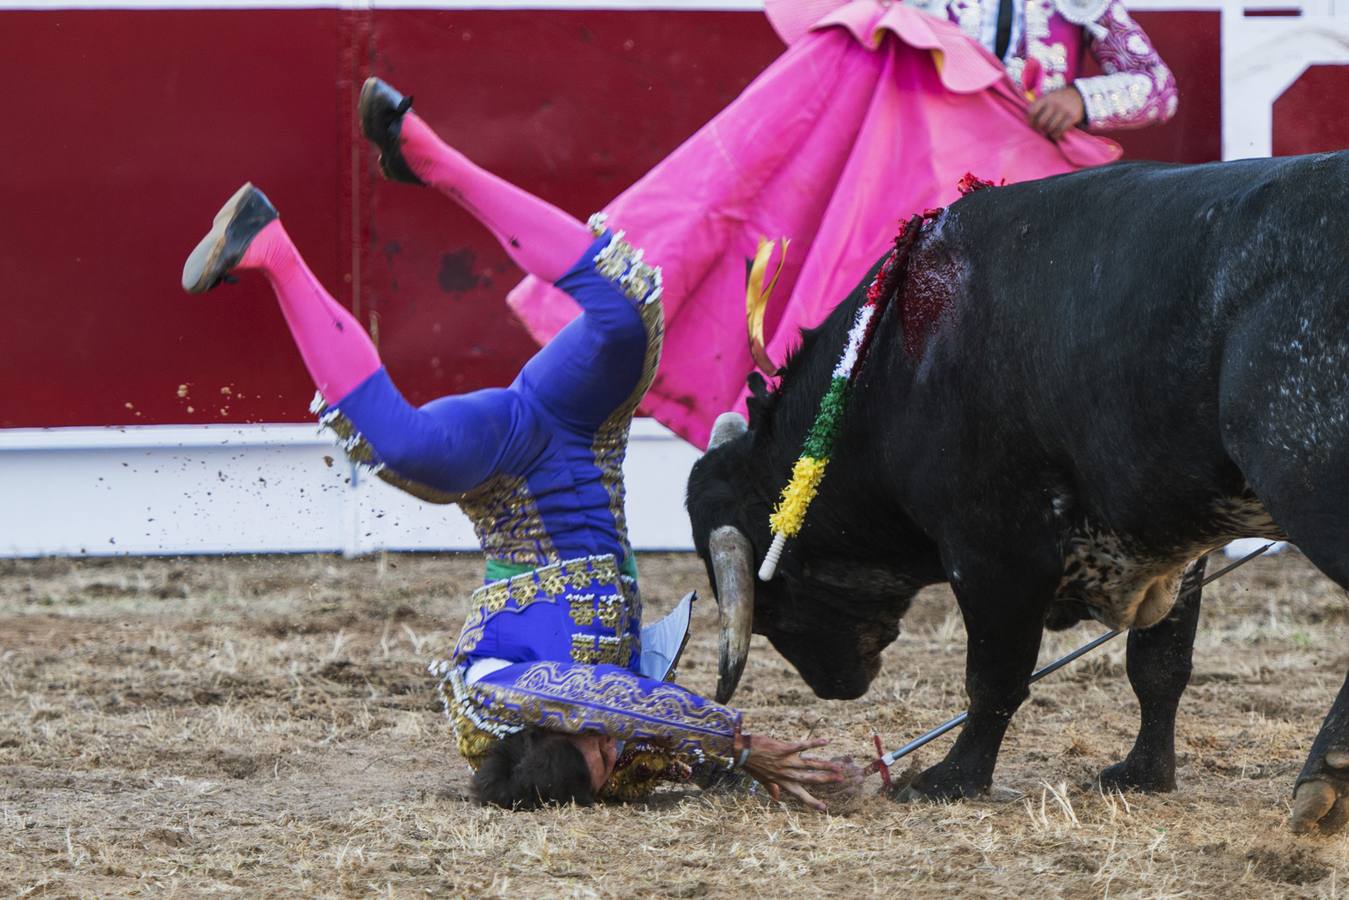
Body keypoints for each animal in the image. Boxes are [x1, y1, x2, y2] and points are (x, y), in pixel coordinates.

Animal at [690, 151, 1349, 836]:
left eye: (775, 600)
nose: (832, 684)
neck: (892, 360)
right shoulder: (1175, 537)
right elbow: (1158, 665)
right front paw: (1143, 774)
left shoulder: (993, 548)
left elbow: (996, 676)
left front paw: (951, 779)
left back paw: (1325, 777)